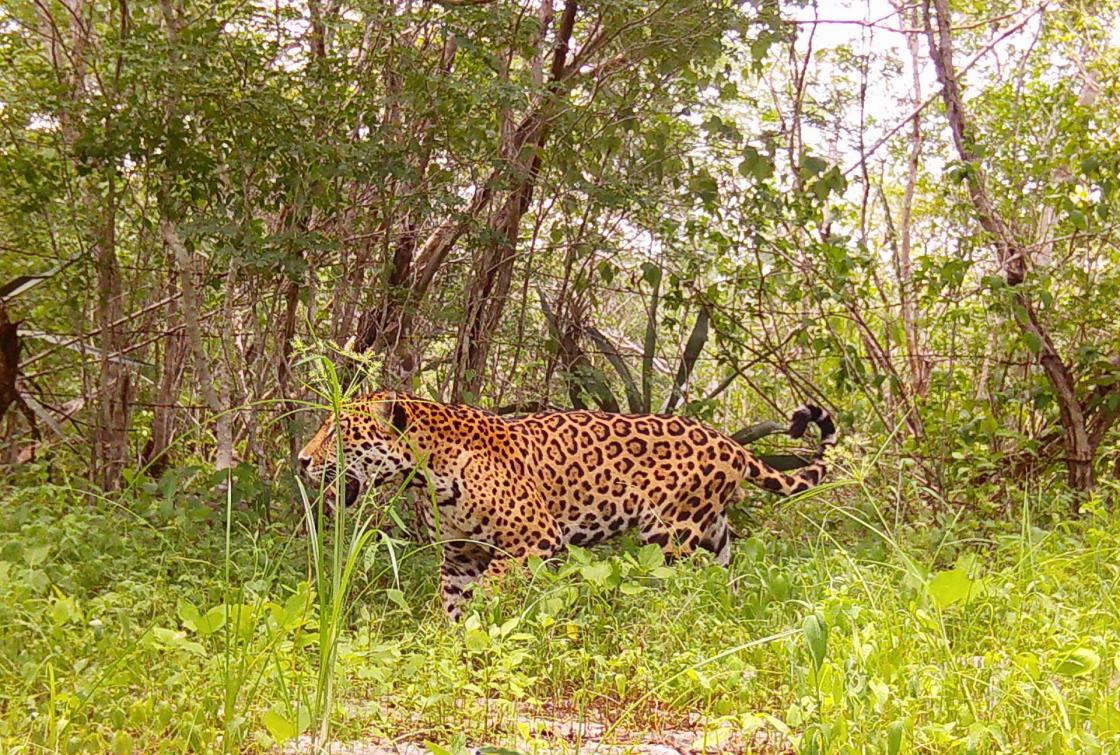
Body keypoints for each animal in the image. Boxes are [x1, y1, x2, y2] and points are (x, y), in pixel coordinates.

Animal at [298, 391, 836, 619]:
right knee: (722, 582)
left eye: (340, 432)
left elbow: (492, 588)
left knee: (675, 588)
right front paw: (452, 644)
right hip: (712, 533)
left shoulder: (535, 540)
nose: (301, 460)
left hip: (669, 534)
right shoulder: (459, 555)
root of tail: (731, 443)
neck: (425, 472)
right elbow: (452, 602)